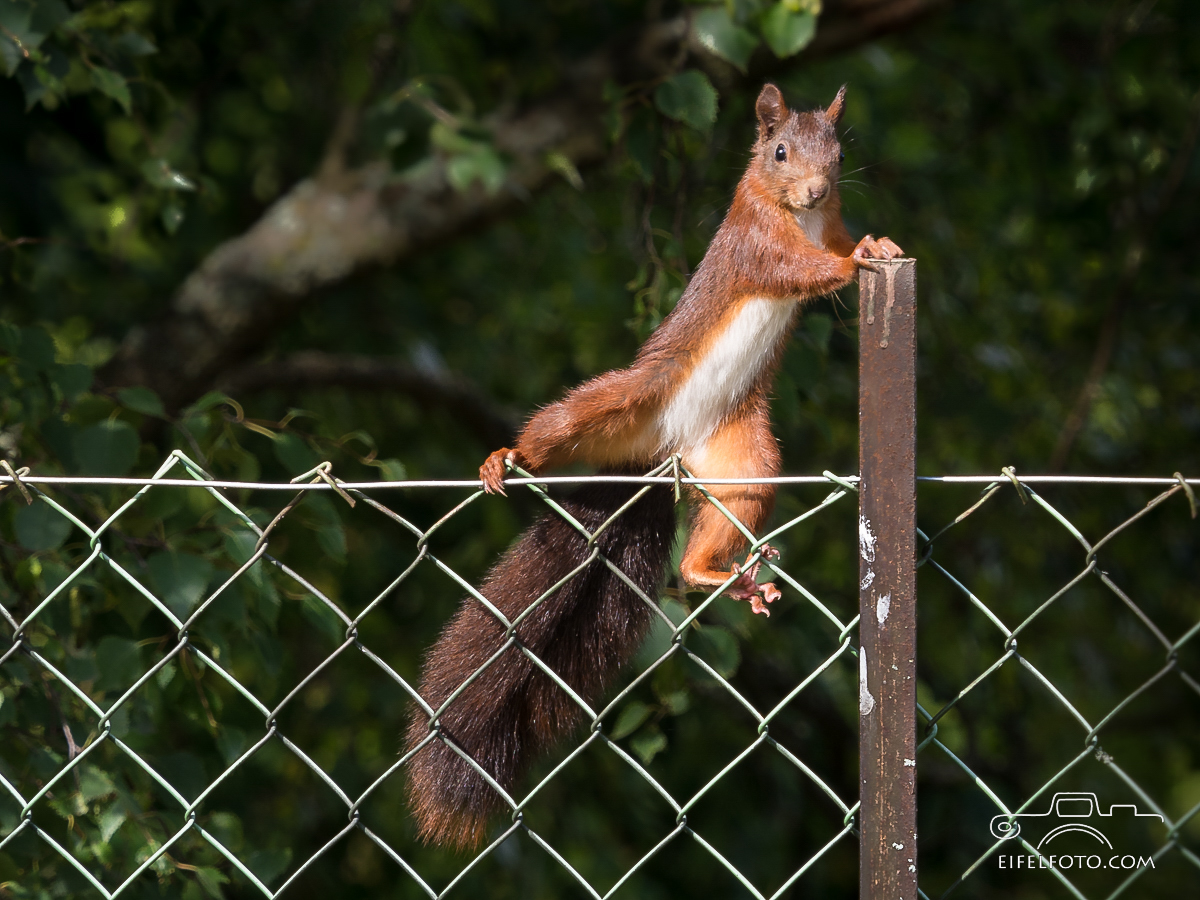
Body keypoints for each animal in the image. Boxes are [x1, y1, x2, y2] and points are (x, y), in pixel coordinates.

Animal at [408, 81, 902, 849]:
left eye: (841, 154)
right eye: (778, 150)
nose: (818, 188)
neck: (800, 215)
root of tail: (666, 452)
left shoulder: (830, 221)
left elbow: (842, 243)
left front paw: (874, 244)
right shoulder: (754, 240)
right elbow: (801, 269)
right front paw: (860, 262)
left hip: (744, 459)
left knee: (712, 533)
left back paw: (717, 575)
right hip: (618, 403)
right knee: (556, 432)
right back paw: (507, 457)